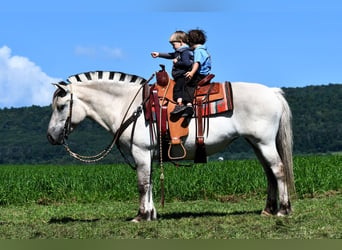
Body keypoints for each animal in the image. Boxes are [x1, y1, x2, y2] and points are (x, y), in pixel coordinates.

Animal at [46, 69, 296, 222]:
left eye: (60, 106)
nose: (50, 137)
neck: (129, 105)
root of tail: (272, 92)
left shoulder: (141, 152)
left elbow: (142, 184)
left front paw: (140, 216)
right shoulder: (148, 155)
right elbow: (150, 183)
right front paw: (151, 214)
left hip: (264, 142)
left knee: (278, 170)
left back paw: (283, 210)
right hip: (256, 144)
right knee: (269, 174)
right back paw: (268, 209)